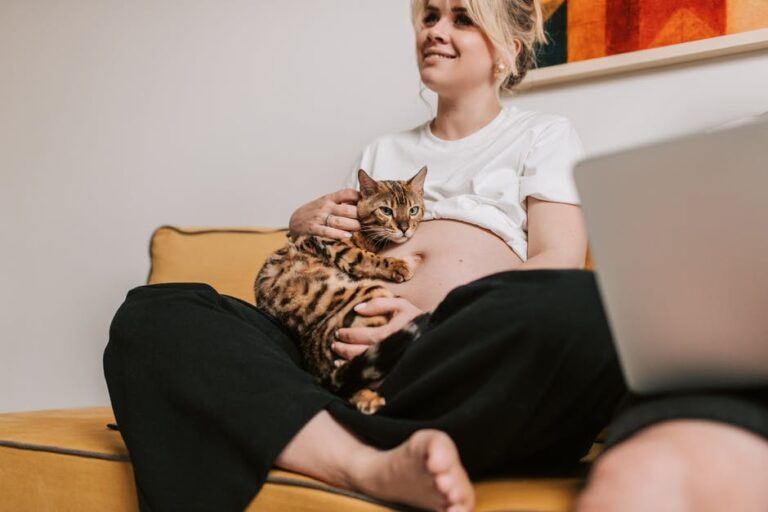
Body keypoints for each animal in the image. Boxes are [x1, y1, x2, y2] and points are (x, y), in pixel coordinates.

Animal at [255, 168, 428, 416]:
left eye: (413, 210)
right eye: (386, 210)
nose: (404, 228)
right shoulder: (332, 243)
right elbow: (367, 258)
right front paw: (396, 266)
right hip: (372, 293)